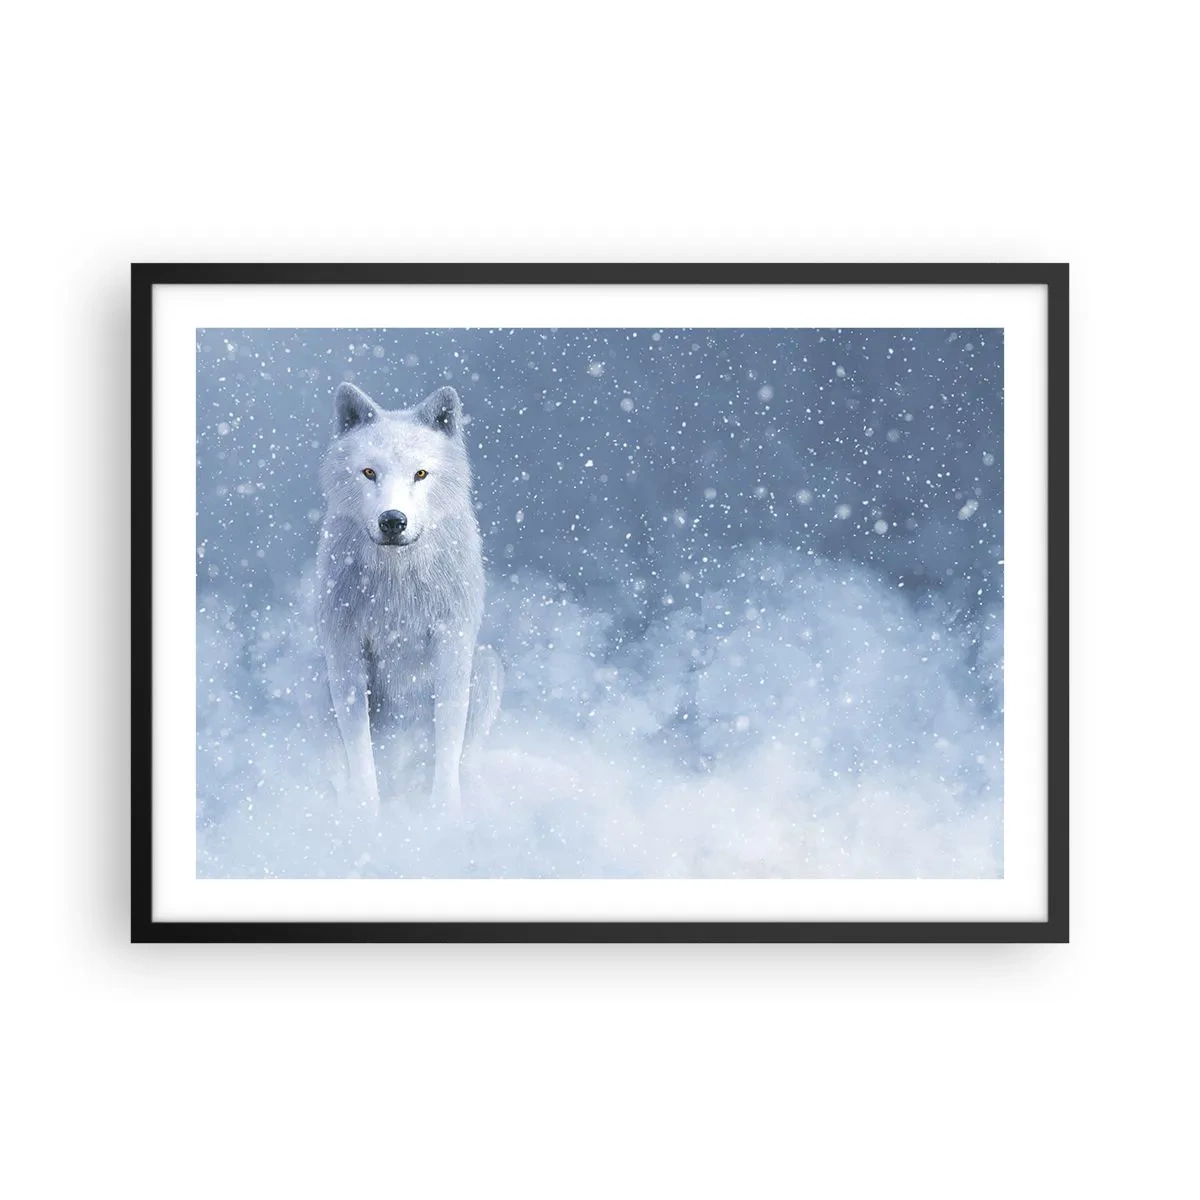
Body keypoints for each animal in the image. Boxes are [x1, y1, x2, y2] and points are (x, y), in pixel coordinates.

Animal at [317, 381, 501, 817]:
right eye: (369, 472)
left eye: (420, 473)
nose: (392, 521)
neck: (396, 584)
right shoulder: (345, 650)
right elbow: (359, 749)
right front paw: (366, 815)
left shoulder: (452, 644)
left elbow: (448, 739)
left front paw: (444, 814)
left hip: (487, 665)